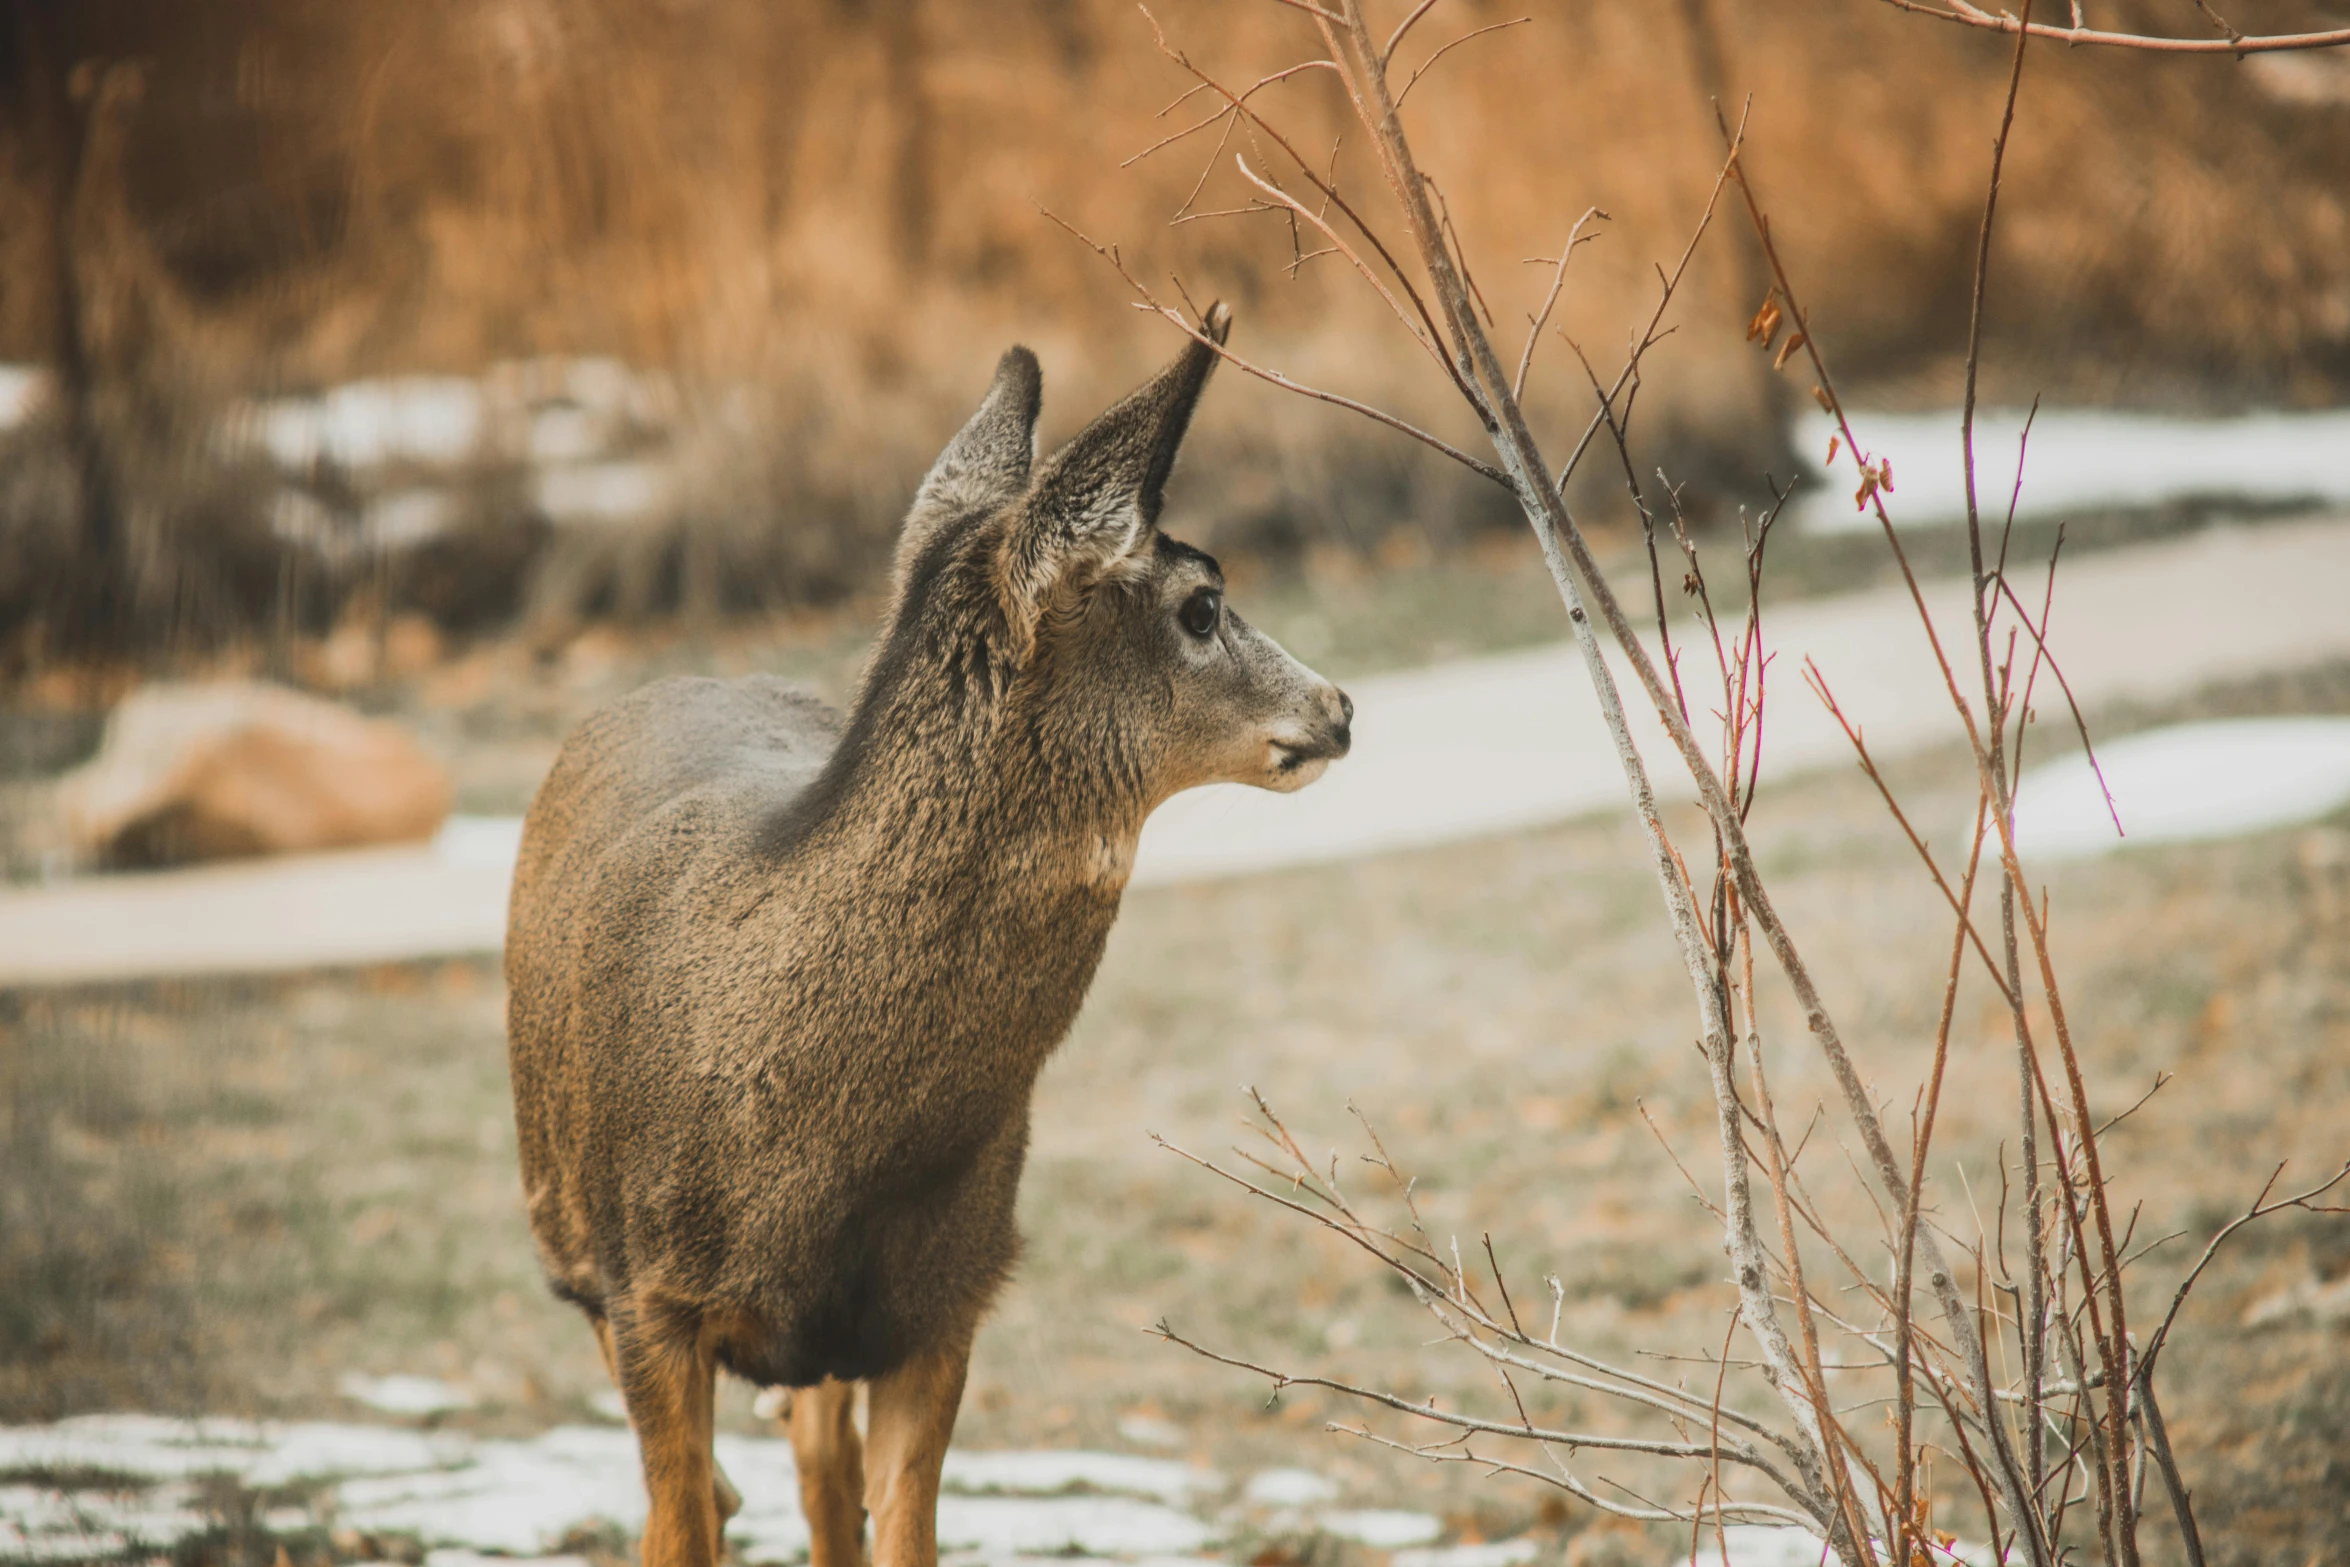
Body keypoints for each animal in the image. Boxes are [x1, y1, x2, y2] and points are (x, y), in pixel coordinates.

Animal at [509, 305, 1363, 1567]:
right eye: (1203, 605)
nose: (1340, 705)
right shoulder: (648, 1294)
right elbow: (676, 1522)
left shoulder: (950, 1295)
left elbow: (900, 1525)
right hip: (567, 1224)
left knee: (822, 1471)